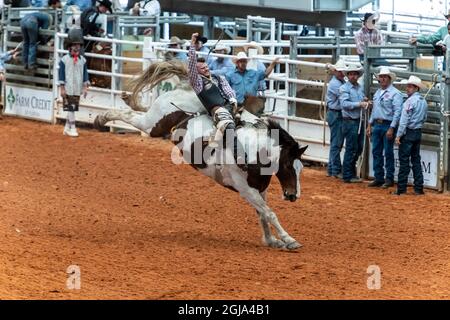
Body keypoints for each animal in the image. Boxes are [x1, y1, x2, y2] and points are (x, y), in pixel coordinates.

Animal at [93, 60, 308, 250]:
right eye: (288, 165)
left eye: (300, 168)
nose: (293, 195)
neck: (252, 150)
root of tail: (185, 86)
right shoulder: (245, 189)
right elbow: (269, 213)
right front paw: (289, 240)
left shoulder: (259, 189)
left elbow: (262, 213)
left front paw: (271, 241)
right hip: (153, 124)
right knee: (128, 116)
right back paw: (101, 118)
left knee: (138, 110)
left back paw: (125, 101)